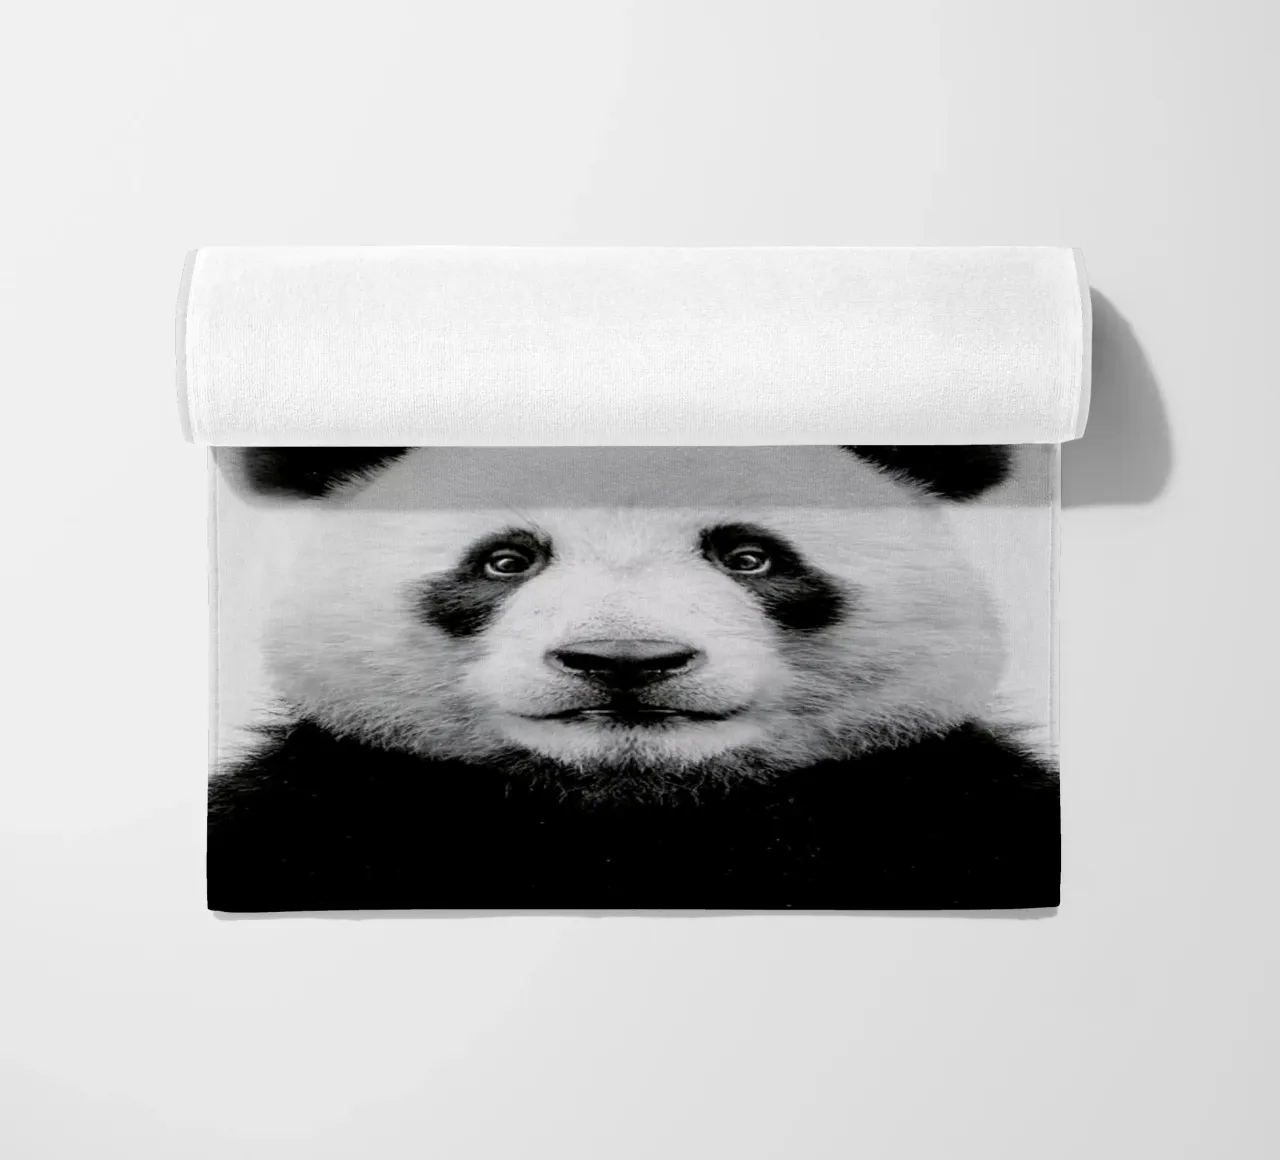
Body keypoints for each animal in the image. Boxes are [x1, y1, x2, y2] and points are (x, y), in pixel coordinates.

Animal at [209, 445, 1058, 912]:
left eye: (750, 556)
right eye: (506, 559)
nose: (624, 660)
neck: (633, 816)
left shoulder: (940, 809)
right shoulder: (330, 812)